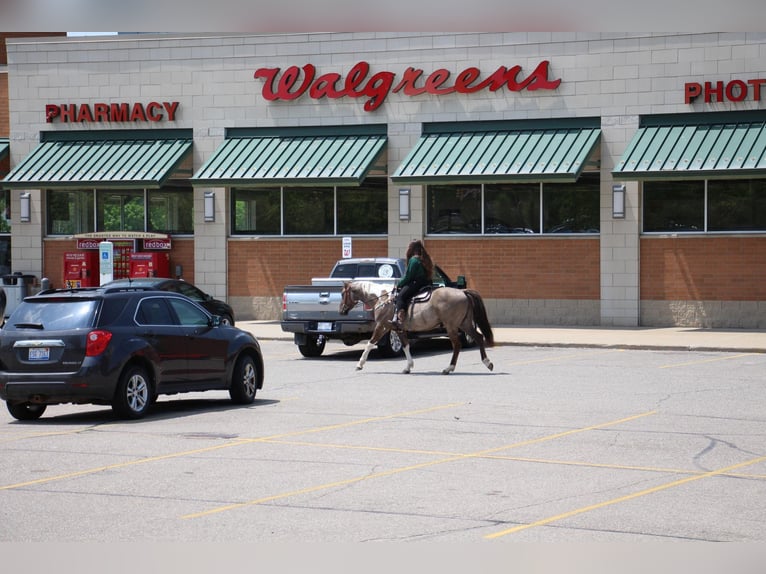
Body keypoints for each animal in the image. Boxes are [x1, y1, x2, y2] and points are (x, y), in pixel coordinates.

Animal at [340, 282, 496, 376]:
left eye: (342, 293)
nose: (341, 310)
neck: (383, 299)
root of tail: (463, 291)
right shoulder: (399, 329)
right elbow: (406, 346)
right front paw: (408, 367)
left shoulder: (382, 326)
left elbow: (370, 343)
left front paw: (359, 364)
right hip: (465, 324)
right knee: (478, 337)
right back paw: (487, 363)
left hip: (452, 326)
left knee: (457, 345)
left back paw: (449, 368)